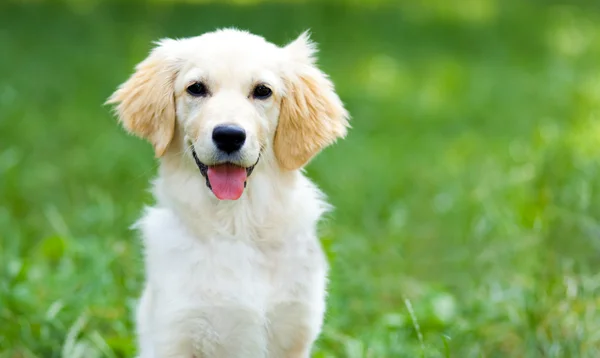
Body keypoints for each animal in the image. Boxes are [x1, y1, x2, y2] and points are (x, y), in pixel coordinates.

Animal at [107, 28, 350, 358]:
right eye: (196, 88)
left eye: (263, 91)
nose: (229, 136)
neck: (237, 224)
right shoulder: (176, 331)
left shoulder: (294, 332)